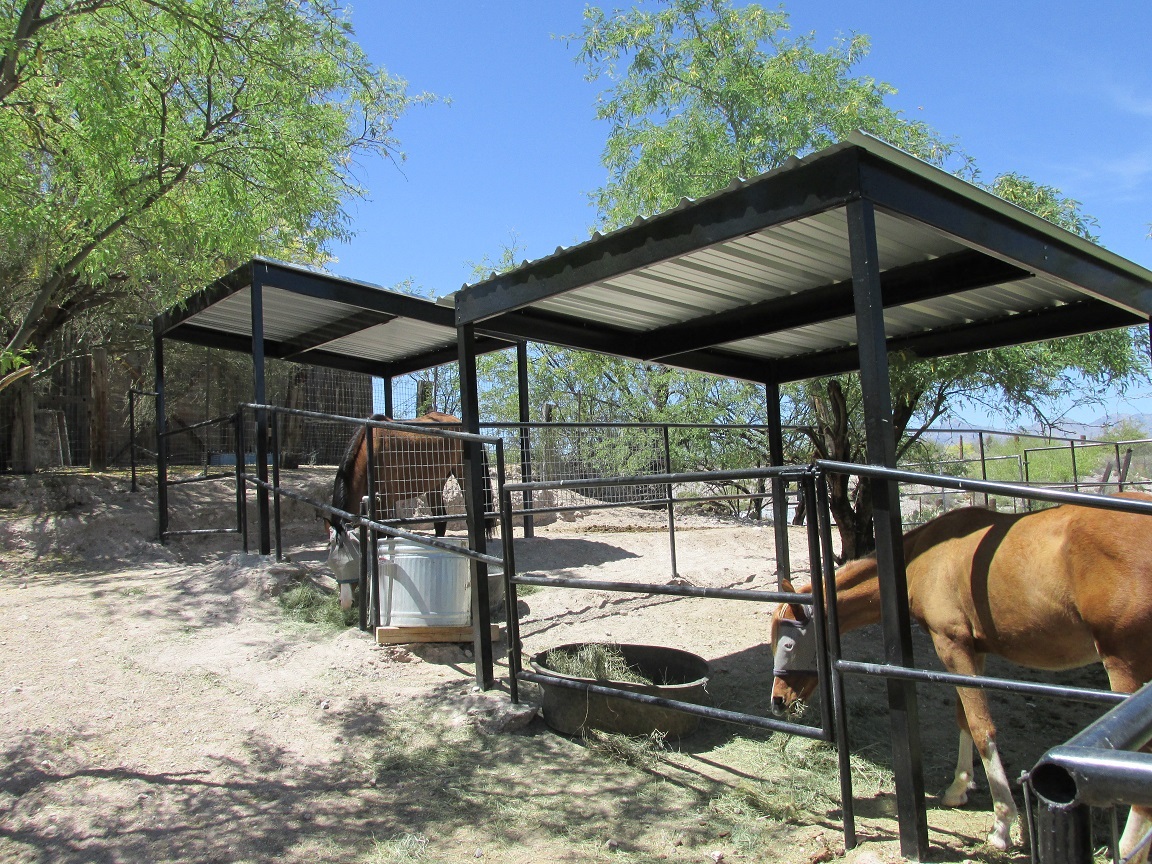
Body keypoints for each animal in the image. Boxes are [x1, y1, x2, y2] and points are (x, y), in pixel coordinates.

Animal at [329, 412, 499, 608]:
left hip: (462, 474)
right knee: (440, 520)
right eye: (331, 564)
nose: (345, 602)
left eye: (353, 562)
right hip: (435, 483)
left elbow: (382, 536)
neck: (371, 449)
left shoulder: (385, 502)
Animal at [764, 497, 1152, 861]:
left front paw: (1001, 826)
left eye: (788, 643)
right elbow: (964, 719)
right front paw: (959, 788)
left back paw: (1129, 848)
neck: (921, 559)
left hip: (1126, 665)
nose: (777, 702)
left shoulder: (951, 646)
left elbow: (981, 728)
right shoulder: (972, 651)